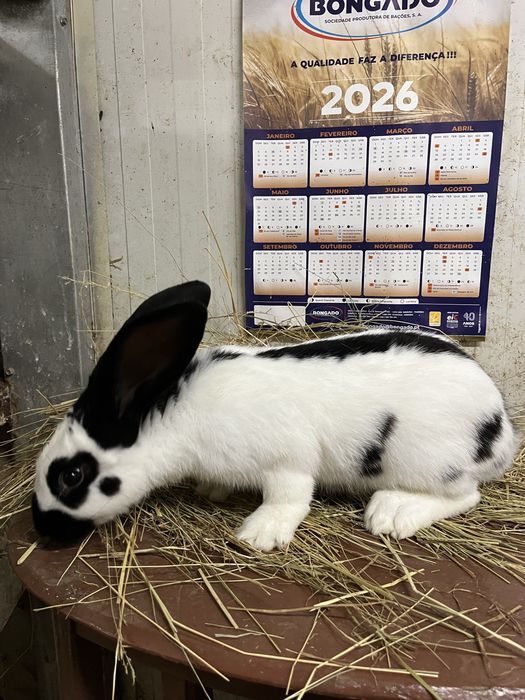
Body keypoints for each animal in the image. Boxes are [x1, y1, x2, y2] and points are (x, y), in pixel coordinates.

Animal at [32, 281, 519, 550]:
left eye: (71, 476)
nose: (43, 530)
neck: (174, 416)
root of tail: (501, 426)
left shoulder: (288, 459)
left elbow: (290, 498)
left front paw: (259, 534)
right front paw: (212, 490)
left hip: (429, 461)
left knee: (466, 496)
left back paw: (393, 513)